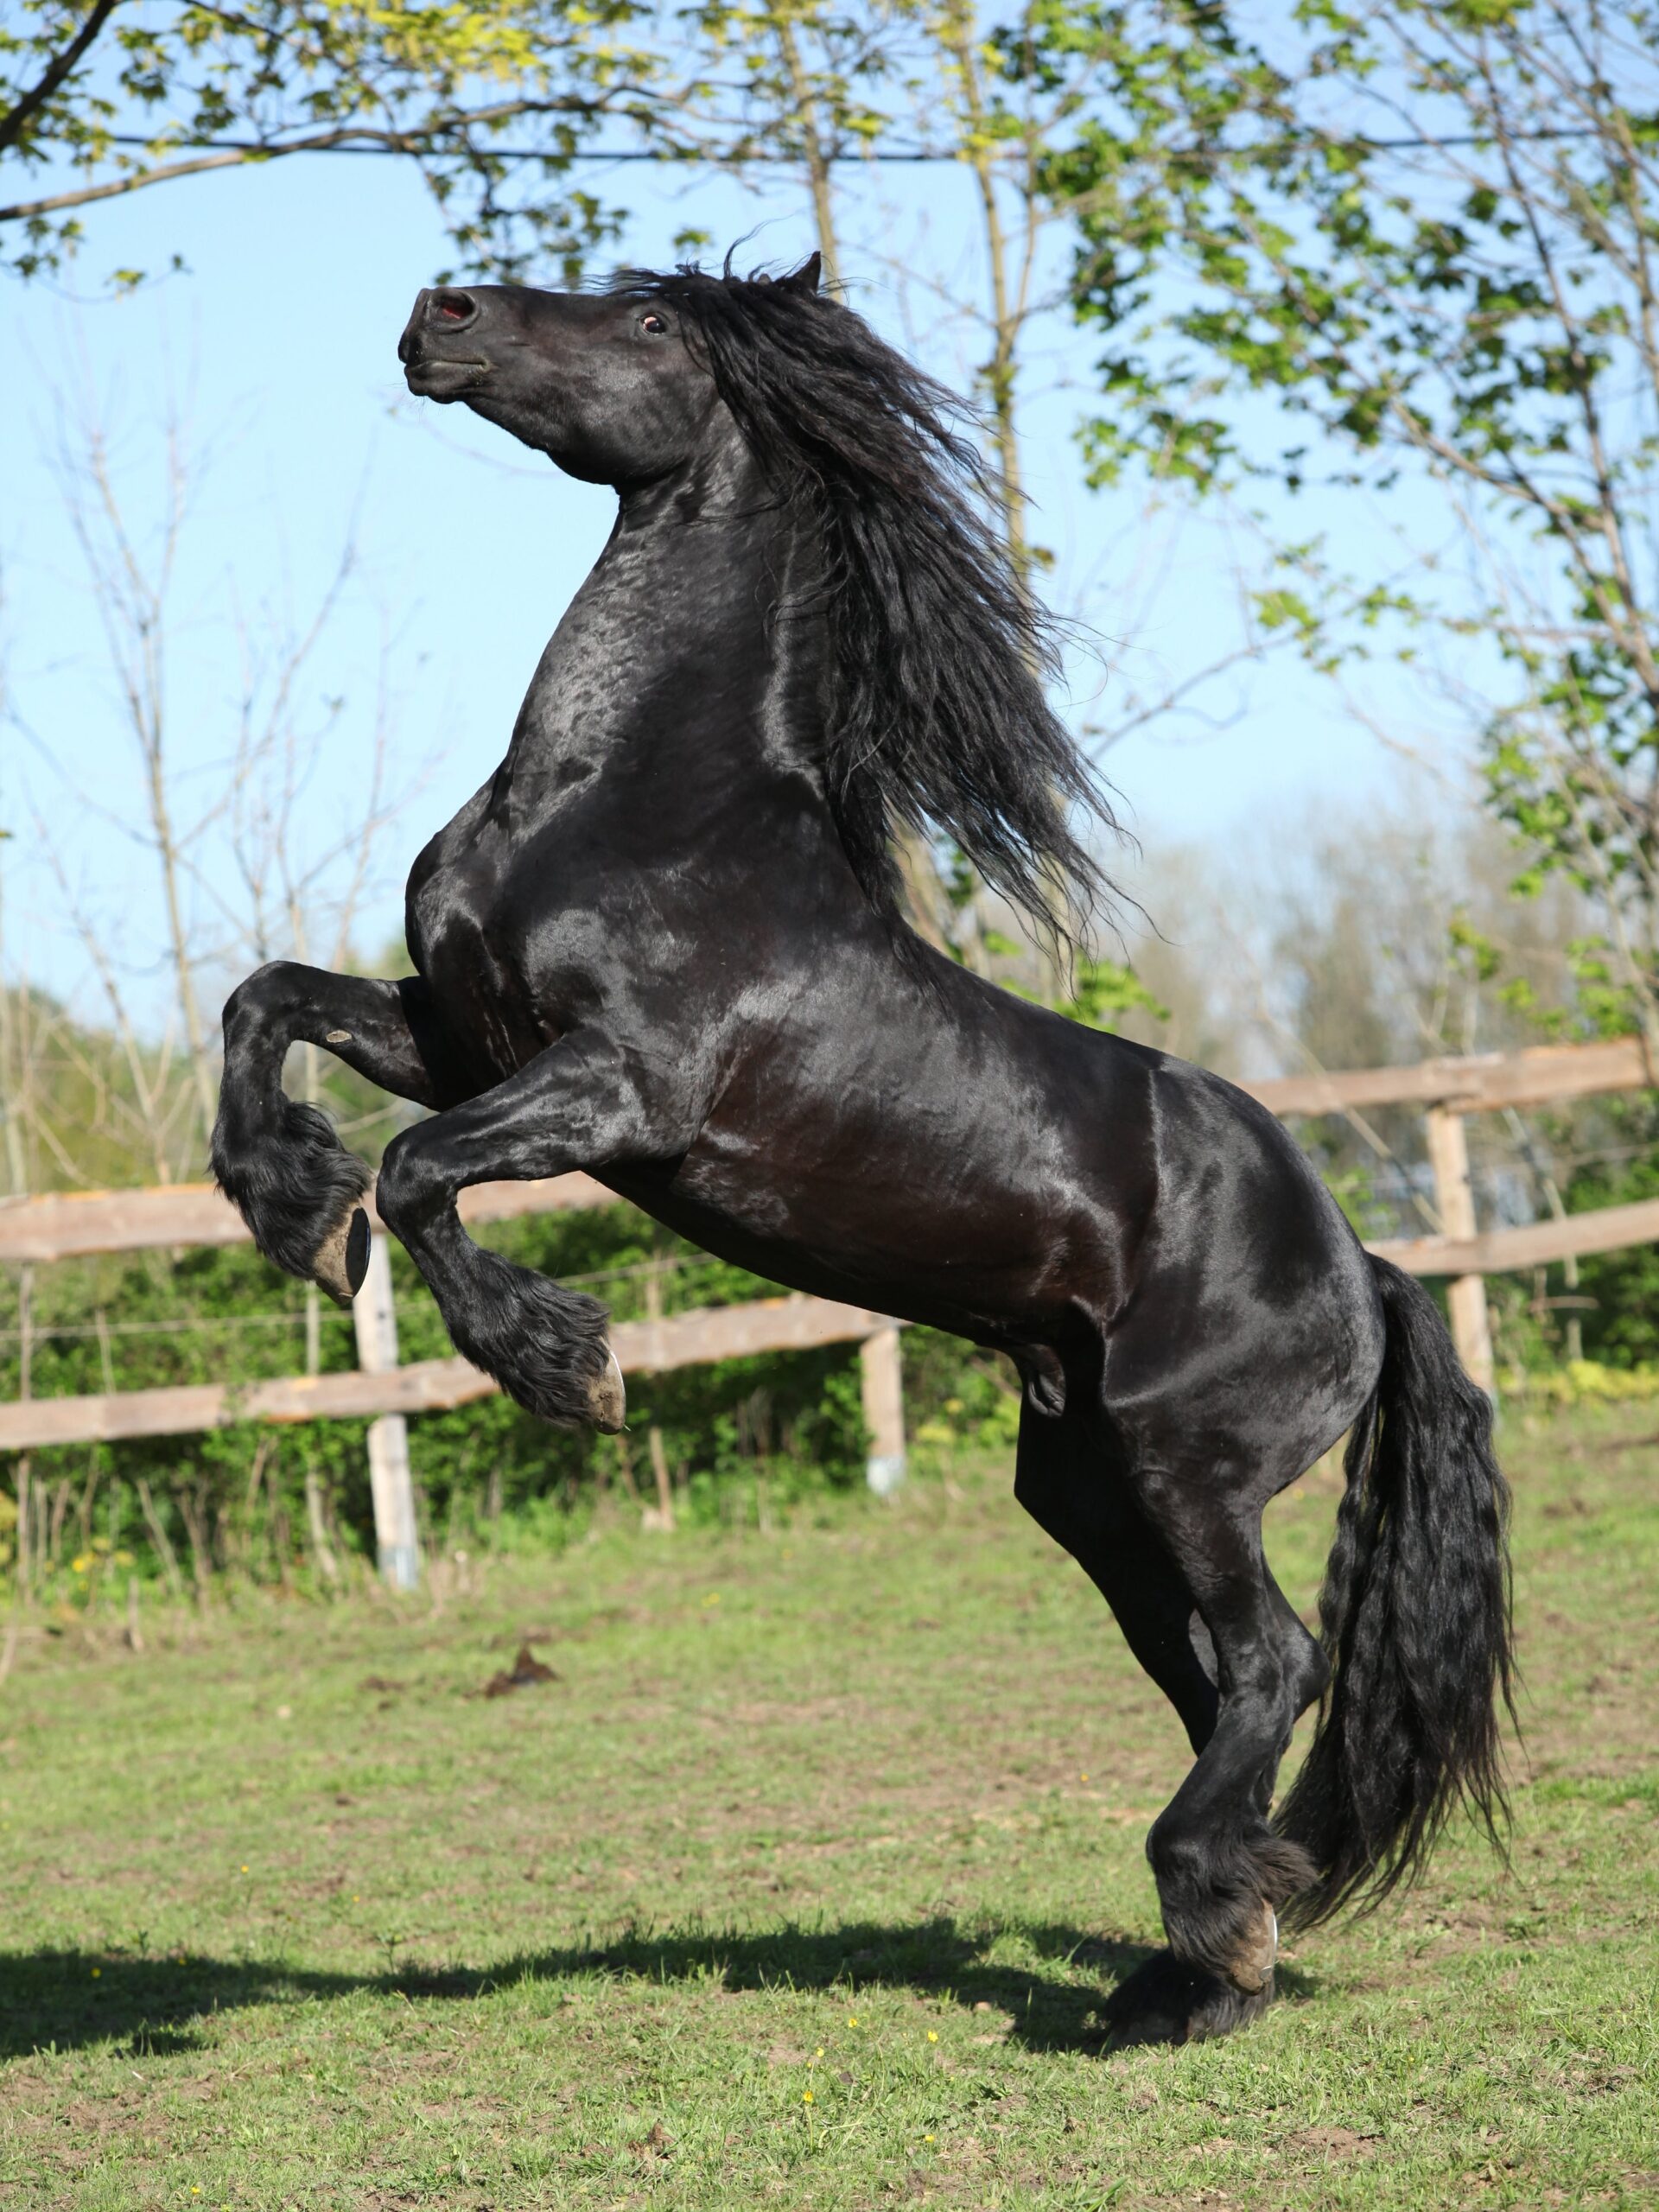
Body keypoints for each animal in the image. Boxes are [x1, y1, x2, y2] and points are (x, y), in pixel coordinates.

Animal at [211, 254, 1514, 2046]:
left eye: (653, 323)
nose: (442, 312)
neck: (633, 803)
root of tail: (1365, 1269)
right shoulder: (456, 1034)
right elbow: (265, 1001)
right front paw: (287, 1207)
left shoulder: (614, 1091)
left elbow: (419, 1177)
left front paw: (567, 1368)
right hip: (1090, 1491)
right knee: (1205, 1683)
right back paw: (1203, 1973)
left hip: (1189, 1465)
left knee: (1273, 1662)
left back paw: (1202, 1936)